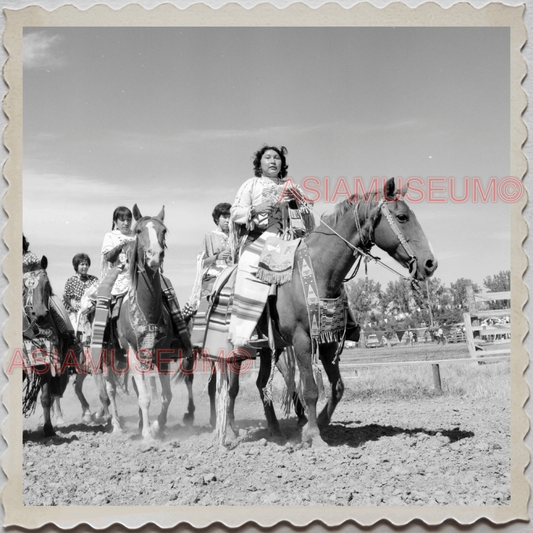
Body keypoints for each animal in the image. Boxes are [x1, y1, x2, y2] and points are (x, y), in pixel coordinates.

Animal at [208, 178, 436, 444]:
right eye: (402, 217)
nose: (430, 264)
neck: (316, 270)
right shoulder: (301, 340)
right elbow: (310, 389)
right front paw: (314, 436)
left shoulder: (329, 341)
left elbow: (337, 387)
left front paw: (315, 424)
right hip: (232, 351)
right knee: (229, 389)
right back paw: (229, 431)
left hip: (267, 349)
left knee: (260, 384)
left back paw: (275, 430)